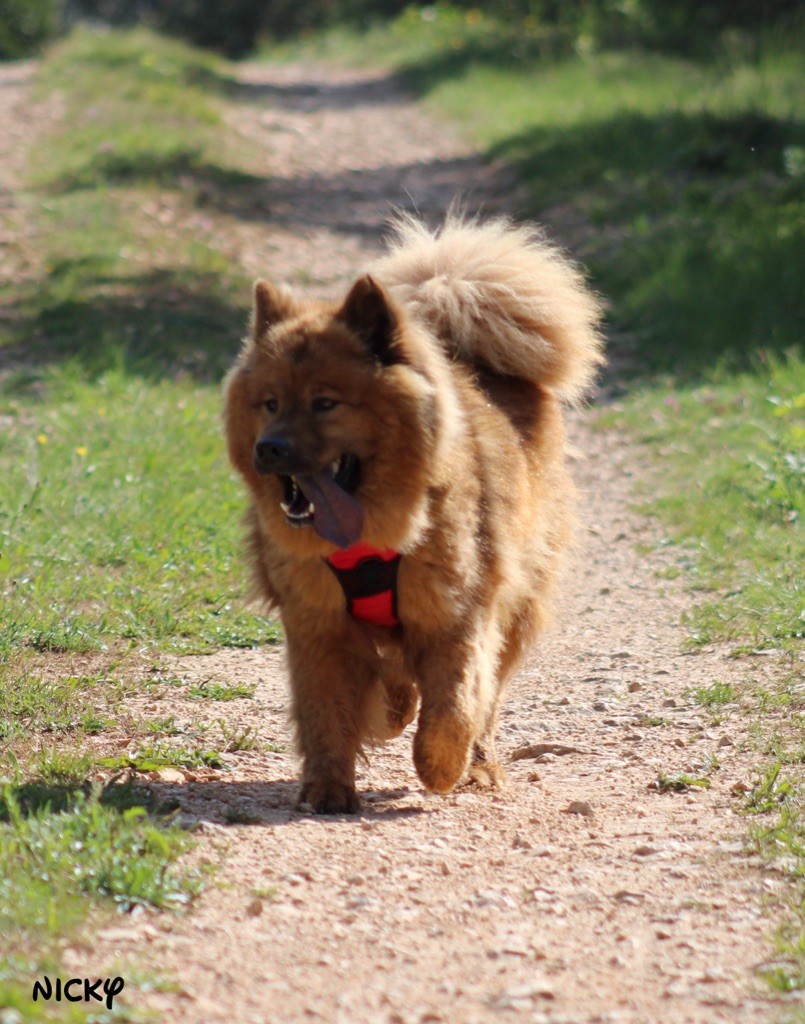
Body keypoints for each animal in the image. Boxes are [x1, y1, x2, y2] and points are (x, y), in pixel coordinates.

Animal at [222, 216, 598, 815]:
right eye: (270, 403)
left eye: (326, 403)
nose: (269, 448)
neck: (370, 538)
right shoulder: (316, 623)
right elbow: (326, 712)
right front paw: (328, 788)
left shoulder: (457, 614)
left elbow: (455, 706)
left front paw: (441, 766)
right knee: (396, 676)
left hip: (518, 601)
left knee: (485, 698)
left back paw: (478, 767)